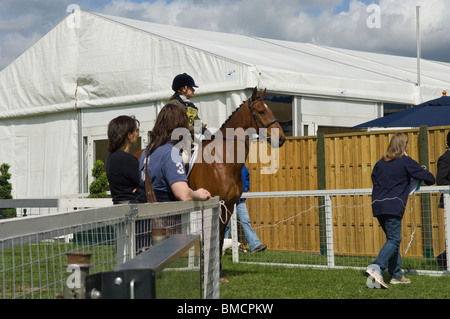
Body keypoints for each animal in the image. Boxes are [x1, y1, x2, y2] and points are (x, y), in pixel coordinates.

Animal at [135, 87, 286, 282]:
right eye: (261, 111)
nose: (281, 139)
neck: (222, 160)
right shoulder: (213, 204)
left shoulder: (228, 205)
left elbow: (220, 237)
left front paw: (219, 273)